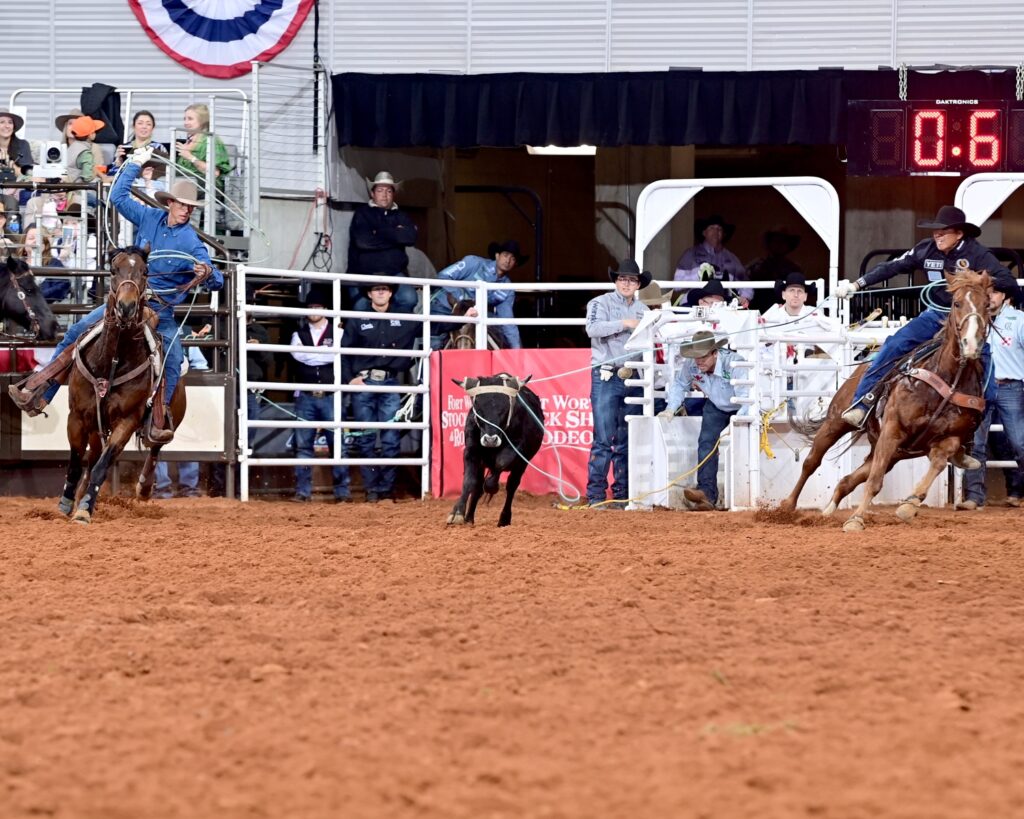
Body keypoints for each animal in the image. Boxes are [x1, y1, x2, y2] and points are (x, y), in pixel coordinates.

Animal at [59, 244, 186, 524]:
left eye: (145, 271)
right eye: (113, 270)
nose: (126, 306)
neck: (112, 361)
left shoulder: (127, 421)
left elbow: (103, 466)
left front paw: (84, 510)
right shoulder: (76, 417)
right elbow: (75, 462)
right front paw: (66, 504)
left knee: (154, 447)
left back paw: (144, 487)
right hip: (94, 426)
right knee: (92, 456)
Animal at [782, 270, 991, 532]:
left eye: (987, 305)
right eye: (956, 303)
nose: (971, 344)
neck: (949, 382)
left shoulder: (949, 439)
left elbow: (938, 463)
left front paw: (909, 505)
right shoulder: (893, 429)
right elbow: (874, 482)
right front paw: (856, 519)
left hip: (892, 453)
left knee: (847, 481)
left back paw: (827, 513)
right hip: (837, 423)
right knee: (811, 462)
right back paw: (787, 506)